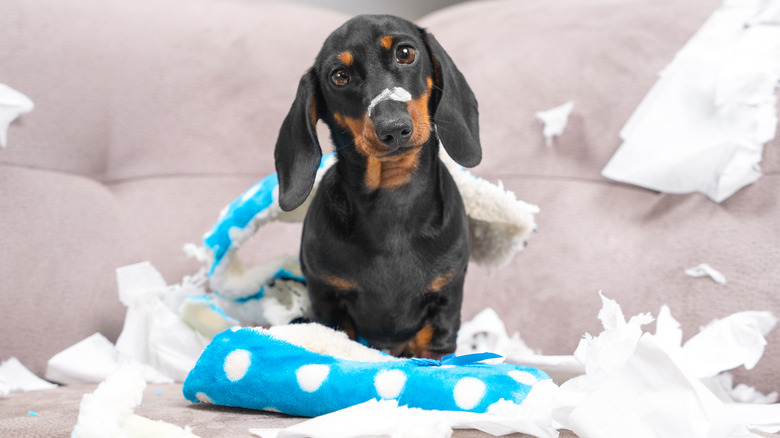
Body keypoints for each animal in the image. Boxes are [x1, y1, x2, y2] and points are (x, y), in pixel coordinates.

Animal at [274, 15, 482, 362]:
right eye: (339, 76)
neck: (392, 201)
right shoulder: (328, 300)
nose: (393, 128)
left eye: (406, 53)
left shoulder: (446, 301)